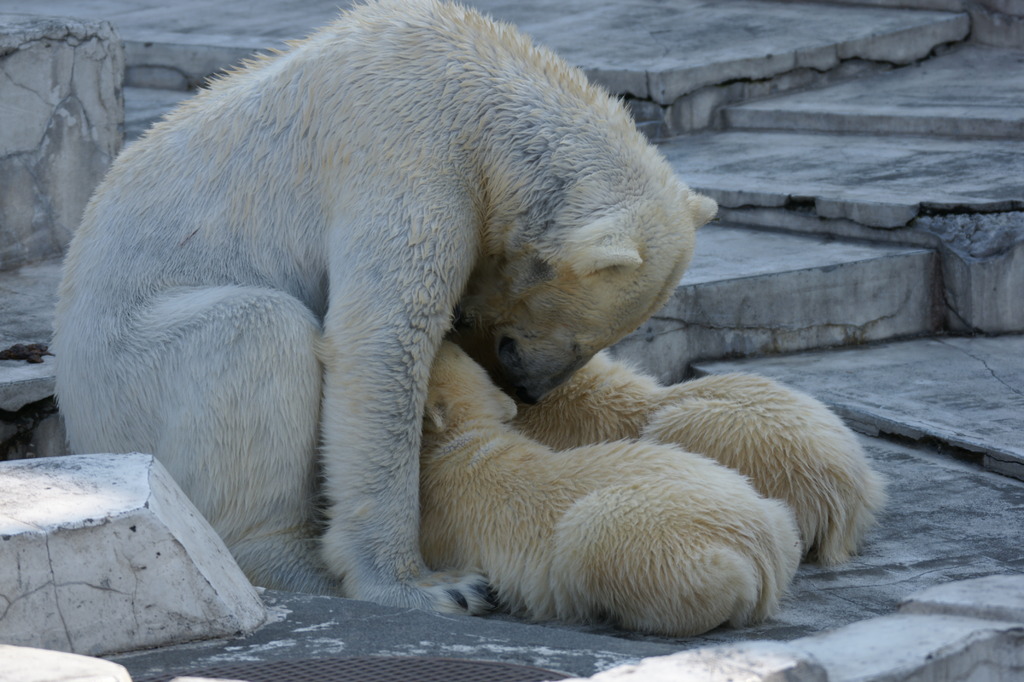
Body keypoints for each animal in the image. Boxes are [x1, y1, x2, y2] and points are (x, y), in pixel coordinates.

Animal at [51, 0, 716, 610]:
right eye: (579, 338)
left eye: (596, 344)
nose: (530, 390)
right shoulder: (410, 152)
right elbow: (382, 343)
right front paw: (430, 587)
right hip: (127, 371)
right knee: (258, 330)